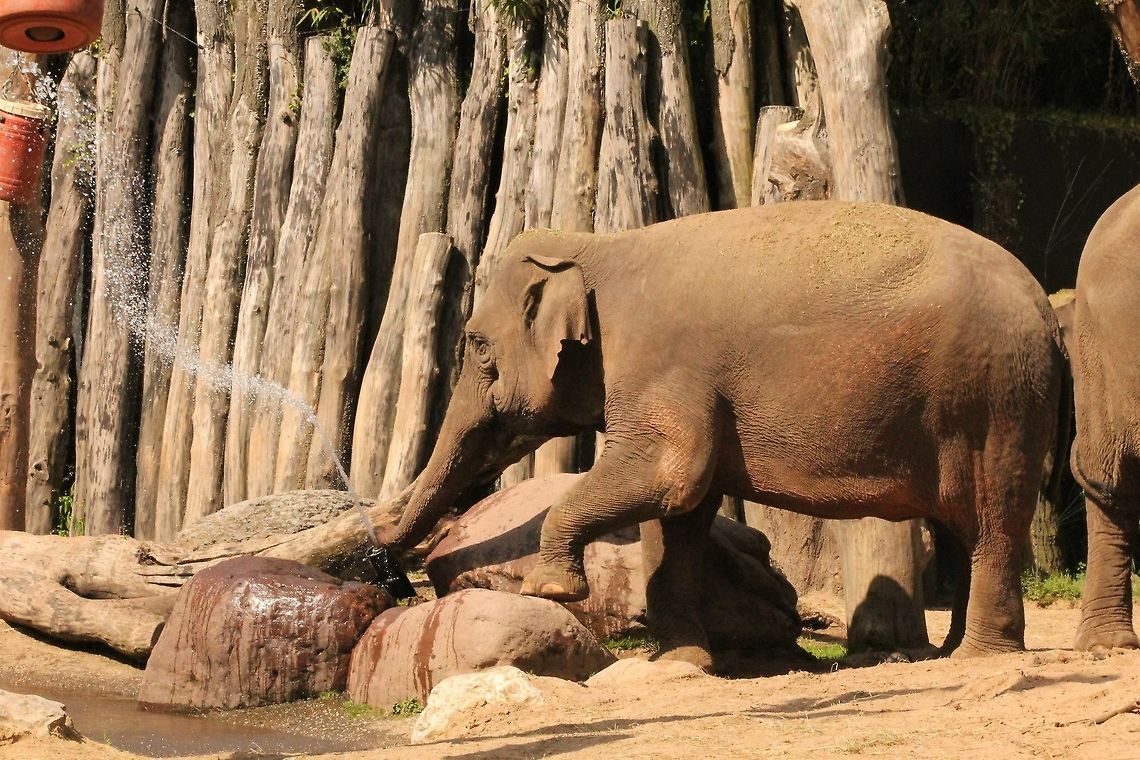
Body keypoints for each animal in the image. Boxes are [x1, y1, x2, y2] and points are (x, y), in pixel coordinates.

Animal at [377, 201, 1064, 668]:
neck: (596, 245)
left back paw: (981, 657)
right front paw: (683, 662)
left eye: (477, 346)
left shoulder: (662, 367)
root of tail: (1047, 309)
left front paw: (550, 588)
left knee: (993, 520)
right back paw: (950, 653)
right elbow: (682, 513)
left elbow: (673, 473)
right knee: (967, 529)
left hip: (997, 398)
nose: (380, 535)